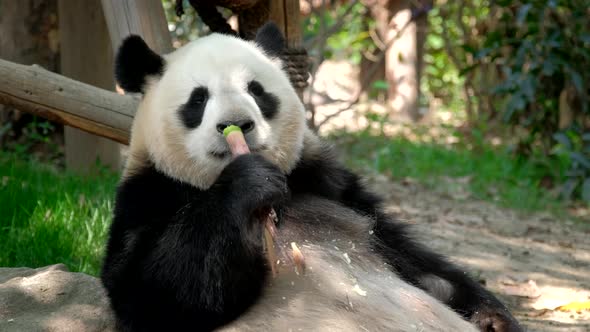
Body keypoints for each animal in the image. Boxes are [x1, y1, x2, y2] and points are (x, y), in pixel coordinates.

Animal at [100, 22, 524, 330]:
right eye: (199, 98)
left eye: (257, 90)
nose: (237, 124)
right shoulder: (148, 196)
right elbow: (154, 295)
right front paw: (248, 183)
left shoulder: (331, 185)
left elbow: (414, 260)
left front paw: (493, 316)